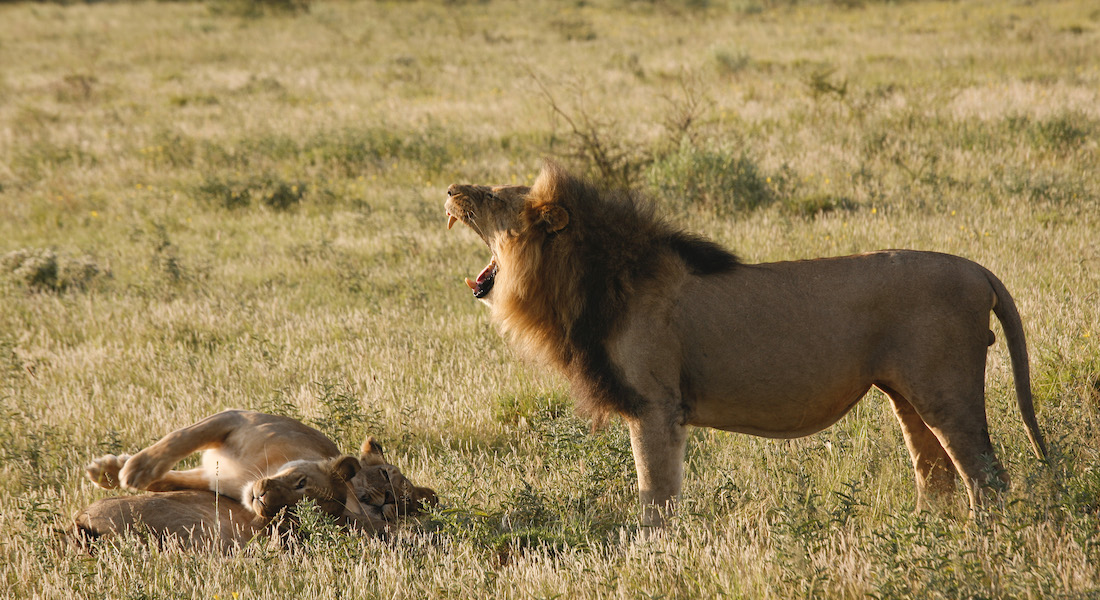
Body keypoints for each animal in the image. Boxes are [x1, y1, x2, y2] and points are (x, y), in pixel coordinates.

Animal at [444, 161, 1047, 521]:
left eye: (493, 198)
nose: (450, 189)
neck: (585, 283)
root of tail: (977, 269)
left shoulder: (655, 405)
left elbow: (655, 495)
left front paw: (652, 554)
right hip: (906, 394)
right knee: (934, 473)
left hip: (946, 392)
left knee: (987, 478)